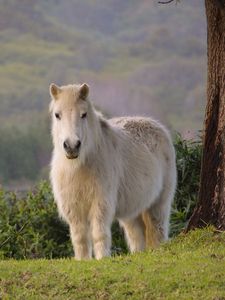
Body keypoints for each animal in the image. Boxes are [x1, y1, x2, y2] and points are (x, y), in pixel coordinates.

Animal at [50, 82, 177, 260]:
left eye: (83, 114)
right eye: (57, 115)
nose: (72, 146)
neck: (79, 166)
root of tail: (158, 127)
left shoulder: (101, 203)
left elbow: (99, 233)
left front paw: (102, 258)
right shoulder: (73, 208)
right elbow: (79, 238)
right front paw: (83, 260)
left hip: (158, 204)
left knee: (157, 230)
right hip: (132, 212)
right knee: (137, 236)